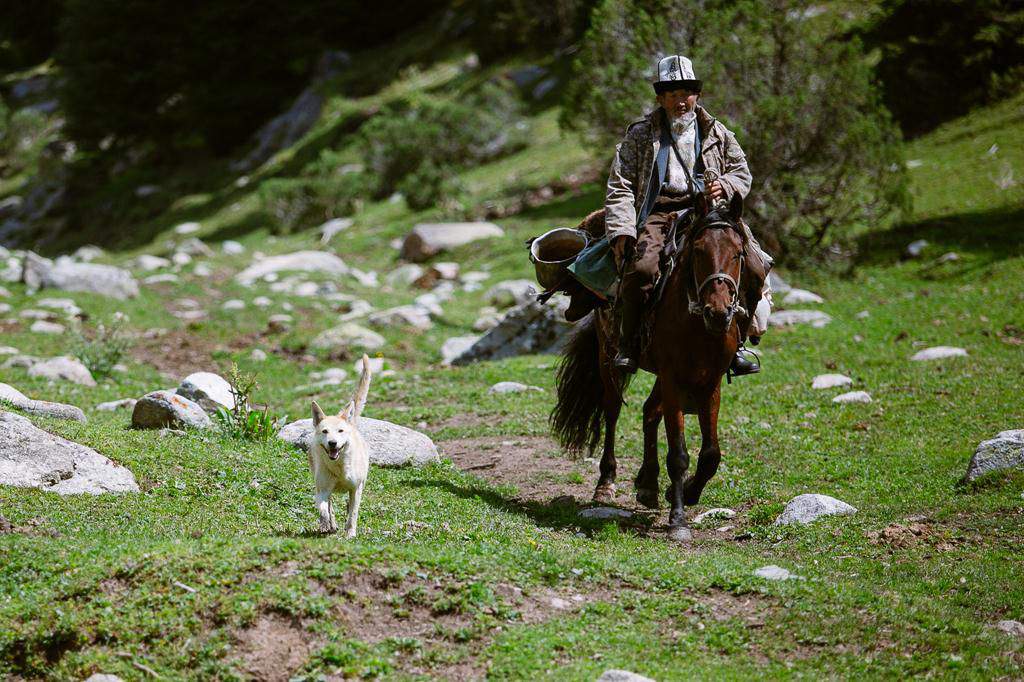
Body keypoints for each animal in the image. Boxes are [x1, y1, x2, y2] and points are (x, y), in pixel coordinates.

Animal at [307, 356, 372, 536]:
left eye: (340, 431)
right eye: (325, 431)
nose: (332, 443)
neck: (339, 468)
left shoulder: (356, 489)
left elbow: (353, 514)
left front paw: (350, 533)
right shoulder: (322, 489)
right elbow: (323, 509)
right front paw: (325, 524)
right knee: (330, 506)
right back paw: (331, 525)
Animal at [548, 192, 757, 540]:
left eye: (738, 254)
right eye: (698, 252)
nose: (718, 313)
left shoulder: (710, 382)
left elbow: (711, 454)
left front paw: (686, 493)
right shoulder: (673, 379)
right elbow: (679, 454)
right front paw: (678, 520)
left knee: (649, 412)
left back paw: (647, 484)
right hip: (609, 358)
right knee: (612, 410)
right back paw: (606, 482)